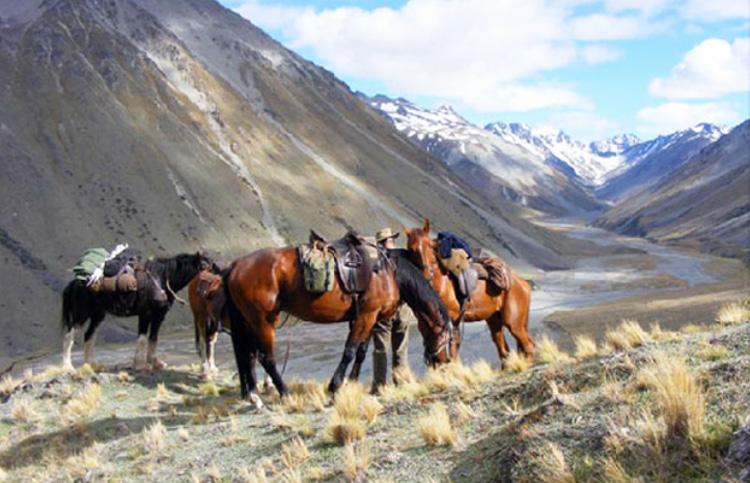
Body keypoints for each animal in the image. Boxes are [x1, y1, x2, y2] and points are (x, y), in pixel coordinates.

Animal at [60, 253, 216, 370]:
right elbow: (142, 338)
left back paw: (91, 365)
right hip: (81, 315)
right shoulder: (145, 314)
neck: (161, 279)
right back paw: (68, 367)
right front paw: (140, 365)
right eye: (205, 266)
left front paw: (155, 363)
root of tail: (74, 284)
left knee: (89, 336)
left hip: (98, 315)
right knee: (69, 336)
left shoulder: (159, 316)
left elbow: (153, 338)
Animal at [220, 241, 450, 404]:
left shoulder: (370, 318)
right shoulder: (366, 315)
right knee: (265, 357)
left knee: (247, 355)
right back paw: (285, 393)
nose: (443, 362)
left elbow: (361, 352)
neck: (388, 272)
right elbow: (349, 351)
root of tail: (236, 265)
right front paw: (335, 386)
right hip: (262, 321)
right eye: (446, 338)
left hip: (248, 321)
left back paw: (254, 395)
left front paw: (351, 382)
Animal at [406, 219, 536, 364]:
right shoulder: (425, 325)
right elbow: (434, 354)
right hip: (494, 321)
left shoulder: (453, 320)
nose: (426, 275)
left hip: (514, 323)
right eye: (411, 249)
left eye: (430, 245)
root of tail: (522, 283)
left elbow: (451, 350)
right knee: (504, 350)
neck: (441, 284)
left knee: (528, 347)